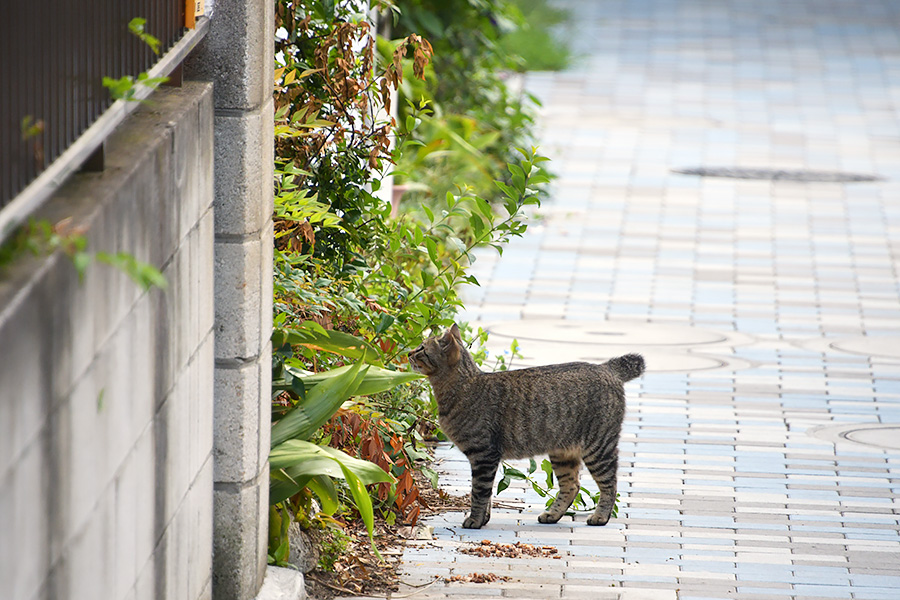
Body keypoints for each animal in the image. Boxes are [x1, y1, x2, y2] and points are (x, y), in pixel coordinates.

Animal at [412, 326, 644, 528]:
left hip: (598, 448)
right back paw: (552, 515)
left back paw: (600, 517)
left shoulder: (483, 455)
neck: (462, 385)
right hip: (563, 453)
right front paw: (484, 519)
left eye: (422, 348)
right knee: (572, 486)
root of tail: (606, 367)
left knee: (610, 484)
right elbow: (485, 494)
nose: (408, 352)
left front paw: (475, 520)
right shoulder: (485, 459)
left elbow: (479, 492)